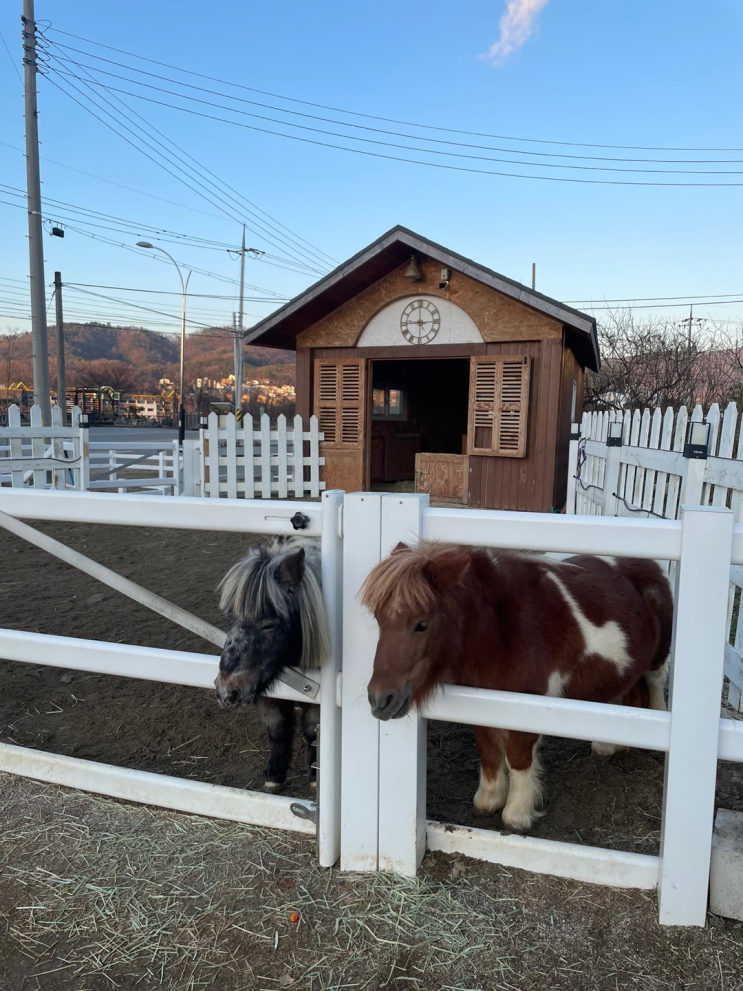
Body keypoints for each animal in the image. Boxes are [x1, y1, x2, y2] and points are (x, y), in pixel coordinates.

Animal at [217, 540, 330, 796]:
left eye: (268, 624)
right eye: (231, 618)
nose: (227, 692)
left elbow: (312, 730)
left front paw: (314, 774)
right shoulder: (265, 683)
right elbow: (277, 728)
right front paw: (274, 774)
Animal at [362, 548, 676, 832]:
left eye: (422, 624)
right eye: (378, 619)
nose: (381, 700)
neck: (504, 629)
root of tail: (651, 564)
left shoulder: (528, 705)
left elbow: (518, 757)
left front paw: (517, 814)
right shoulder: (482, 700)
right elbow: (488, 750)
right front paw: (488, 800)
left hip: (658, 657)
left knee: (656, 683)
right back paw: (607, 745)